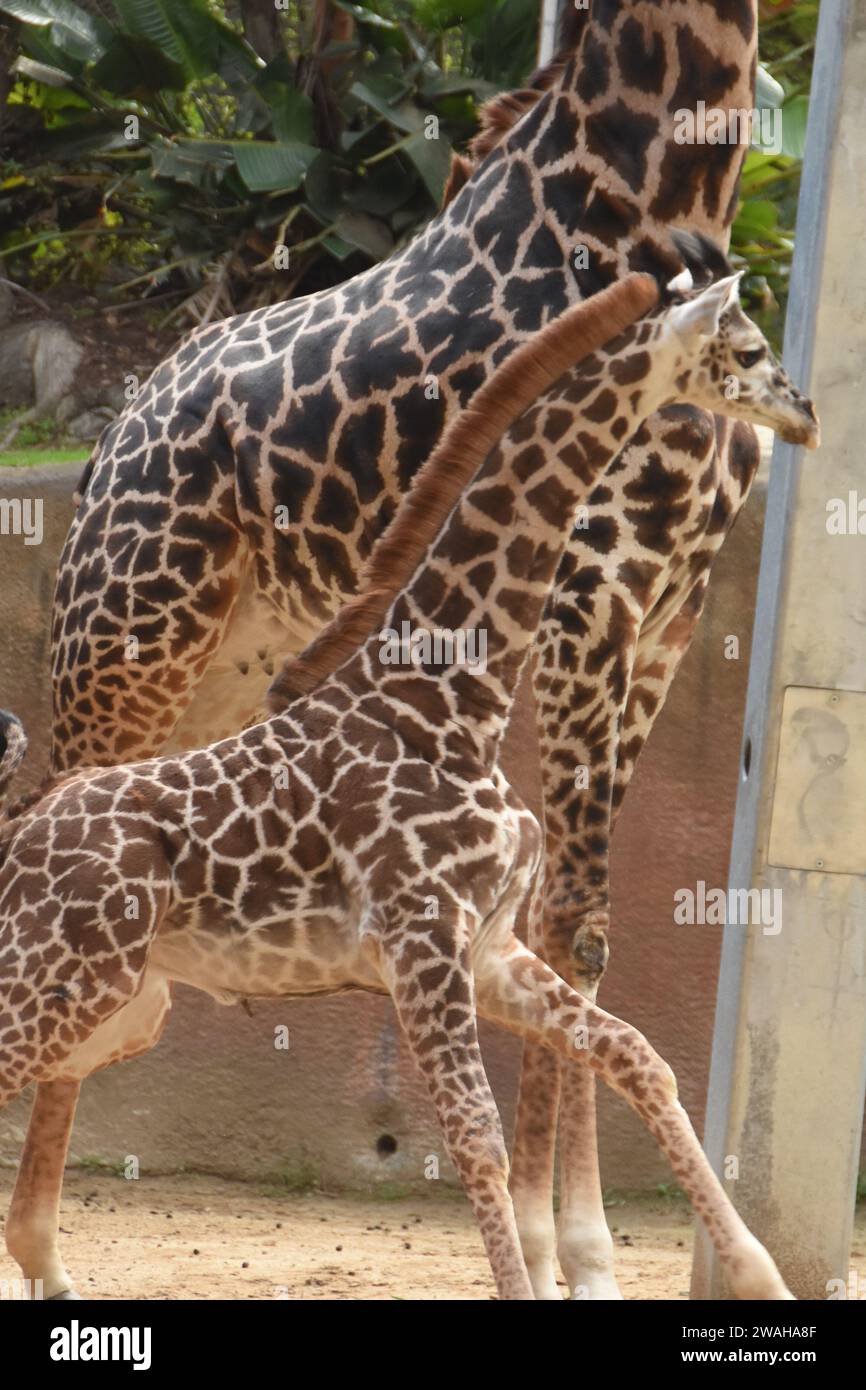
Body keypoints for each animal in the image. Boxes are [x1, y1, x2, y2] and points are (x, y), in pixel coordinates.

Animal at [39, 0, 763, 1297]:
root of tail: (110, 435)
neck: (658, 181)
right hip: (126, 640)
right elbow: (568, 918)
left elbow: (577, 927)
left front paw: (561, 1239)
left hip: (229, 675)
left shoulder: (668, 612)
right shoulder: (589, 590)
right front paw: (571, 1246)